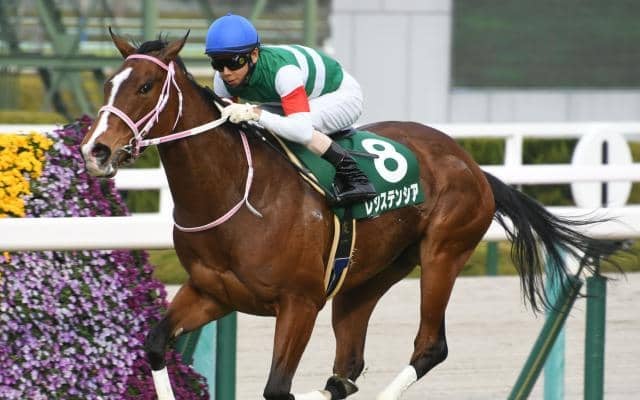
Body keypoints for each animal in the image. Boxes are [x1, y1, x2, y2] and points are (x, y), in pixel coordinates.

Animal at [80, 31, 623, 400]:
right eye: (108, 83)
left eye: (146, 86)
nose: (96, 150)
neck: (236, 195)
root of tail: (471, 164)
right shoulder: (212, 292)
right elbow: (155, 344)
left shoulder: (299, 303)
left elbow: (276, 387)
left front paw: (244, 113)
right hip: (365, 279)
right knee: (348, 368)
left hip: (444, 252)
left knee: (429, 347)